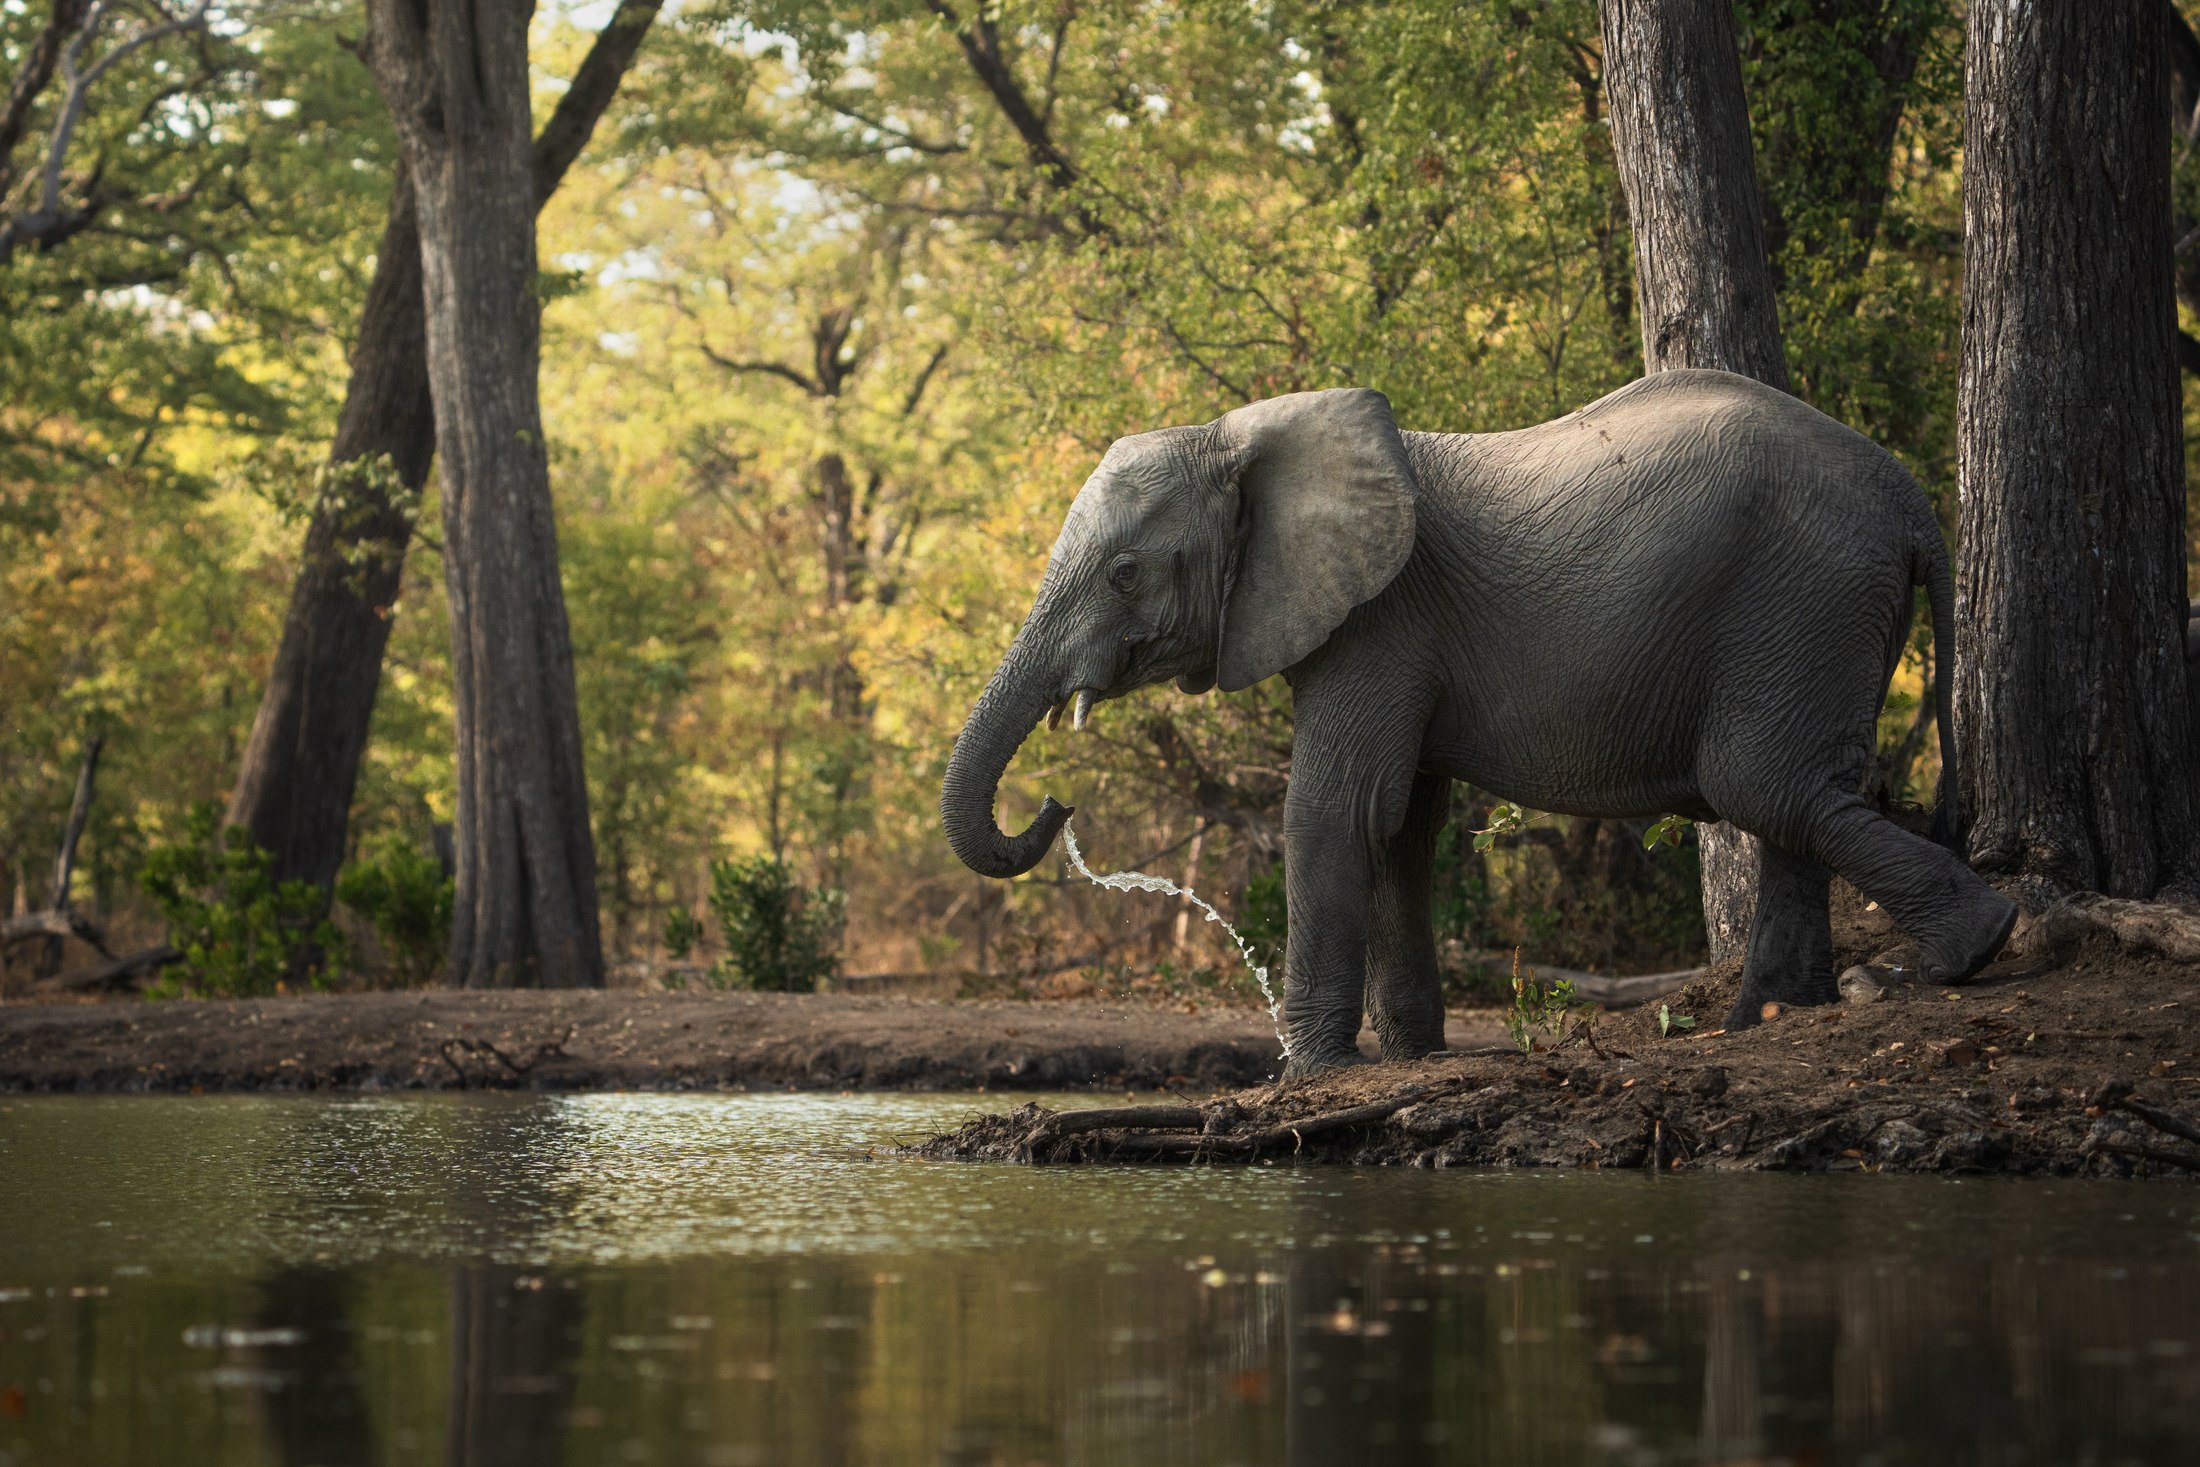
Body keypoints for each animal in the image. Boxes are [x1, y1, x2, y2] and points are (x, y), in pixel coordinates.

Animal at [939, 369, 2019, 1076]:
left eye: (1125, 574)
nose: (1056, 804)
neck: (1244, 434)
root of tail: (1913, 503)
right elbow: (1399, 825)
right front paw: (1411, 1056)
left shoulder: (1382, 618)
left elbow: (1336, 812)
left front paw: (1310, 1077)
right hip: (1814, 614)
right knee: (1791, 795)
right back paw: (1771, 1017)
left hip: (1801, 598)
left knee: (1765, 785)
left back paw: (1972, 951)